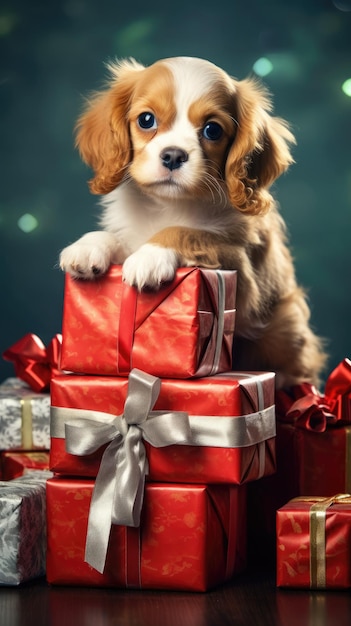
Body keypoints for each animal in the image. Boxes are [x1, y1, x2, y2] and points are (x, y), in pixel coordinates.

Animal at [59, 57, 328, 386]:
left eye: (212, 130)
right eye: (146, 120)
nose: (174, 155)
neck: (171, 205)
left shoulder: (242, 271)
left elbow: (186, 231)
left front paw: (150, 256)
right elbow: (116, 238)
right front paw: (88, 247)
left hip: (285, 328)